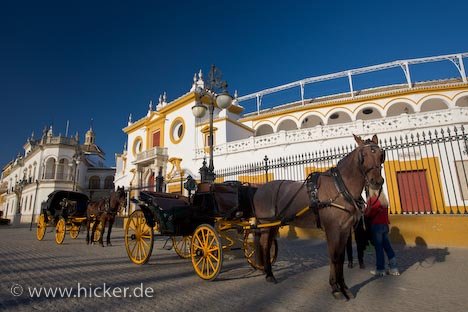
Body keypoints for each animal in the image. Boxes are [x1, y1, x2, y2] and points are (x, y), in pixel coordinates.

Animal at [252, 135, 384, 300]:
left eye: (381, 155)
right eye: (363, 156)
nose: (376, 181)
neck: (339, 187)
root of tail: (259, 189)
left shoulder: (344, 229)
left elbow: (340, 257)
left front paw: (343, 287)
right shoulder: (332, 229)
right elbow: (334, 256)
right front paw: (335, 288)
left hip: (273, 224)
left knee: (268, 244)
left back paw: (268, 272)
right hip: (266, 223)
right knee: (264, 244)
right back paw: (269, 274)